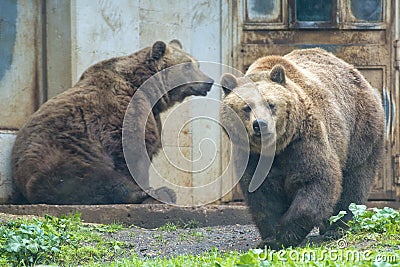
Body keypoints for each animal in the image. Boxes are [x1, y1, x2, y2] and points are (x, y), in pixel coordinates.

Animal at [220, 47, 386, 249]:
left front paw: (285, 235)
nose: (260, 124)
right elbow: (262, 195)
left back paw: (337, 227)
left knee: (354, 180)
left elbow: (316, 180)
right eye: (246, 107)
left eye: (270, 104)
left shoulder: (303, 140)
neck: (275, 149)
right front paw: (269, 238)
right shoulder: (251, 156)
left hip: (360, 130)